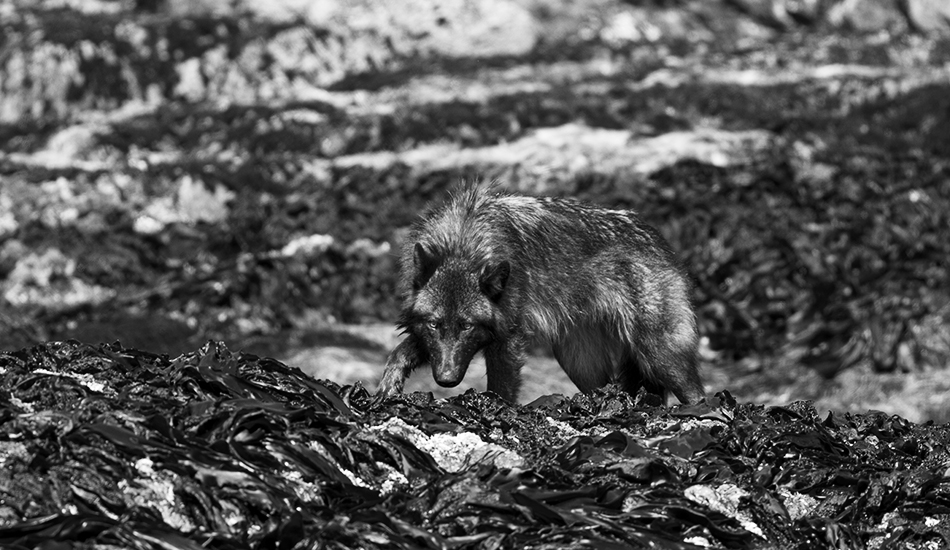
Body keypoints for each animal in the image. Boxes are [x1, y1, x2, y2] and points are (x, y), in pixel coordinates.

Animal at [377, 185, 705, 404]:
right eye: (434, 324)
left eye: (467, 326)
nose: (446, 380)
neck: (463, 244)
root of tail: (660, 241)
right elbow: (400, 351)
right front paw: (387, 388)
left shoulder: (507, 342)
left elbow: (501, 390)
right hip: (579, 362)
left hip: (659, 355)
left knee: (697, 394)